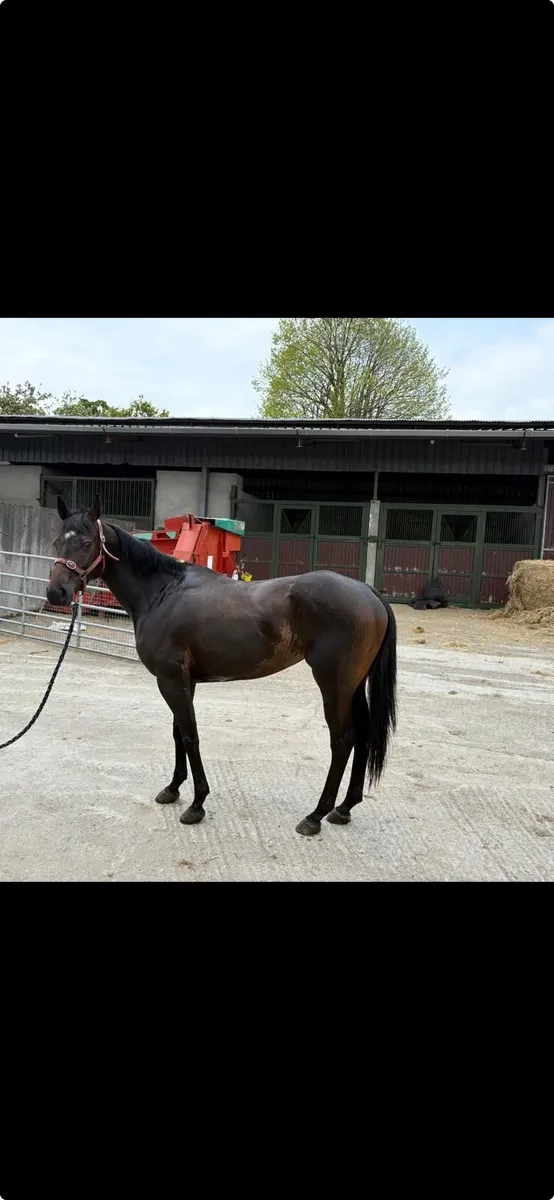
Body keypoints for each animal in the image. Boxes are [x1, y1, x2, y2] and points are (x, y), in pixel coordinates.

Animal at [47, 495, 397, 837]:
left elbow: (190, 737)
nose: (56, 592)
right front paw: (173, 789)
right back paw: (344, 808)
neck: (162, 593)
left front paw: (196, 804)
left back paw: (316, 815)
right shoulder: (183, 680)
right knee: (363, 735)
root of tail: (368, 591)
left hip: (333, 685)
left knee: (343, 741)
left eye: (87, 542)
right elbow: (178, 733)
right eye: (56, 541)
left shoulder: (171, 679)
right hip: (353, 686)